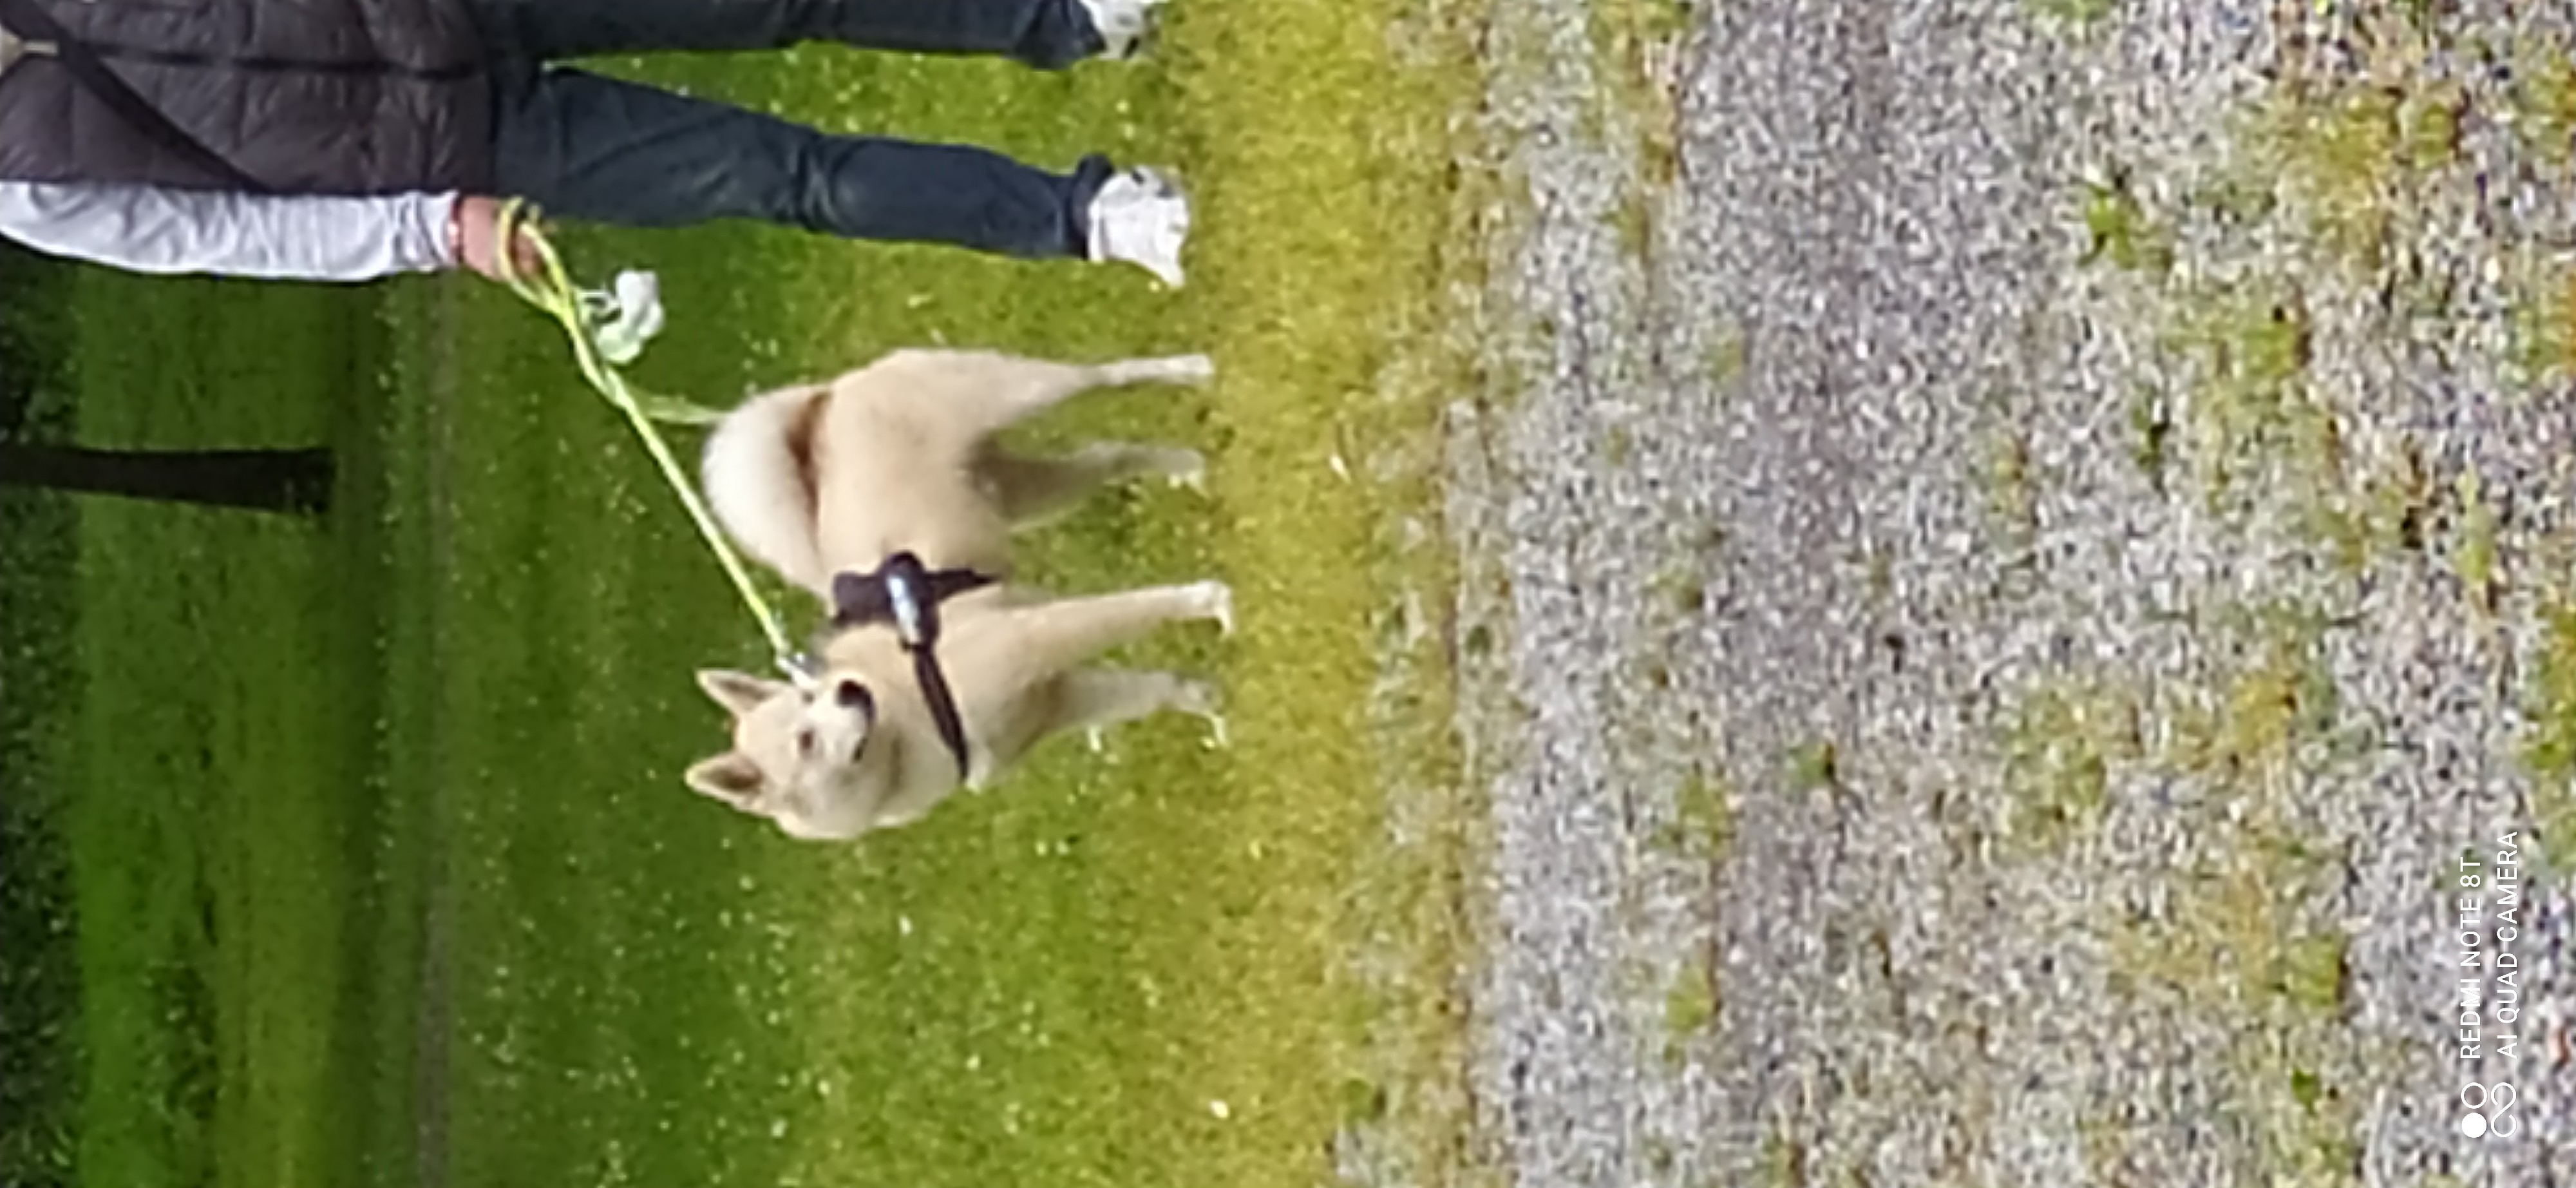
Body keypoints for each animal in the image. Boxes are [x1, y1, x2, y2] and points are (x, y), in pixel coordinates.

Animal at [685, 348, 1226, 840]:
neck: (903, 723)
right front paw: (1214, 708)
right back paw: (1188, 466)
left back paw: (1187, 370)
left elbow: (1140, 609)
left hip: (1018, 390)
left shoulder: (1033, 640)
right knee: (1108, 455)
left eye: (812, 694)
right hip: (1024, 492)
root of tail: (823, 404)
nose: (850, 691)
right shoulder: (1061, 699)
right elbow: (1162, 689)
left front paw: (1211, 601)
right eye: (805, 741)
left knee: (1105, 375)